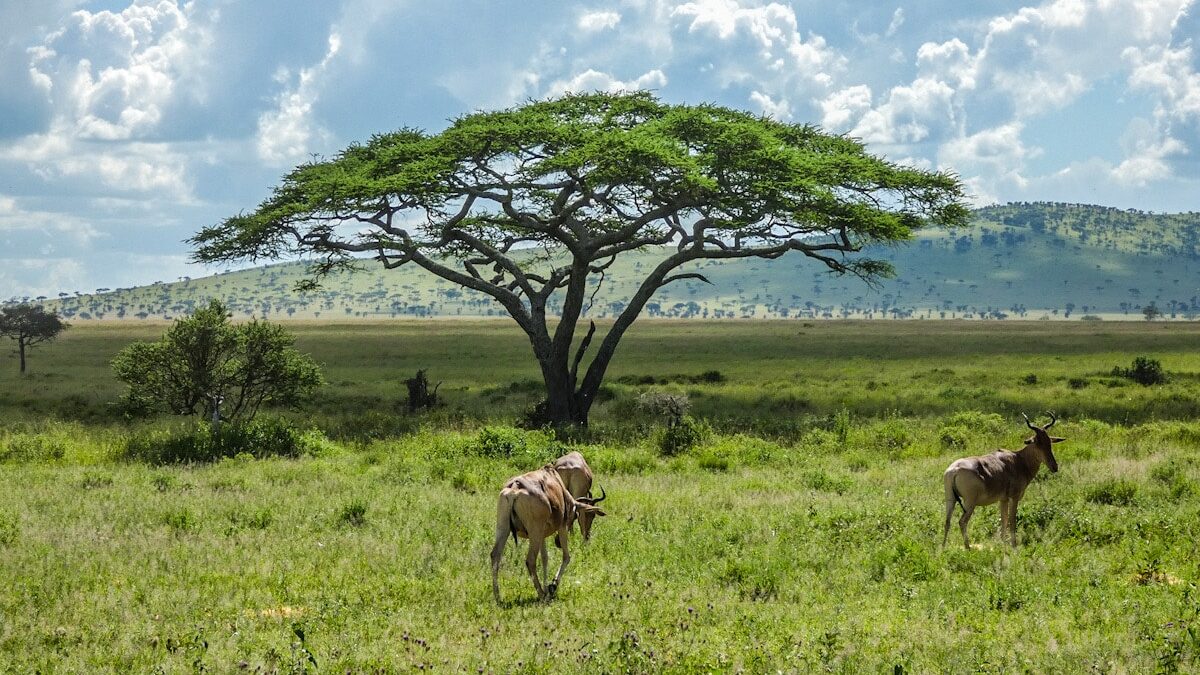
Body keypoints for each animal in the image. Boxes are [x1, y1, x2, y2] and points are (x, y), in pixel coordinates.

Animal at [487, 461, 604, 598]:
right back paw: (541, 594)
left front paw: (548, 587)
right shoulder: (562, 527)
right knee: (530, 560)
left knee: (495, 555)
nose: (557, 542)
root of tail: (514, 490)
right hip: (534, 532)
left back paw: (497, 596)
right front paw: (552, 585)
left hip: (505, 529)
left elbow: (545, 558)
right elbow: (566, 557)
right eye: (576, 515)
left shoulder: (542, 535)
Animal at [940, 410, 1065, 547]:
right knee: (962, 521)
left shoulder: (1003, 499)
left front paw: (1002, 545)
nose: (1054, 467)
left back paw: (943, 547)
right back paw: (968, 547)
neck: (1018, 459)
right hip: (970, 502)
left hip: (950, 498)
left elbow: (1004, 521)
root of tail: (955, 470)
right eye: (1037, 442)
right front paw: (1014, 546)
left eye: (1049, 442)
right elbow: (1012, 521)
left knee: (947, 521)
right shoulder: (1014, 497)